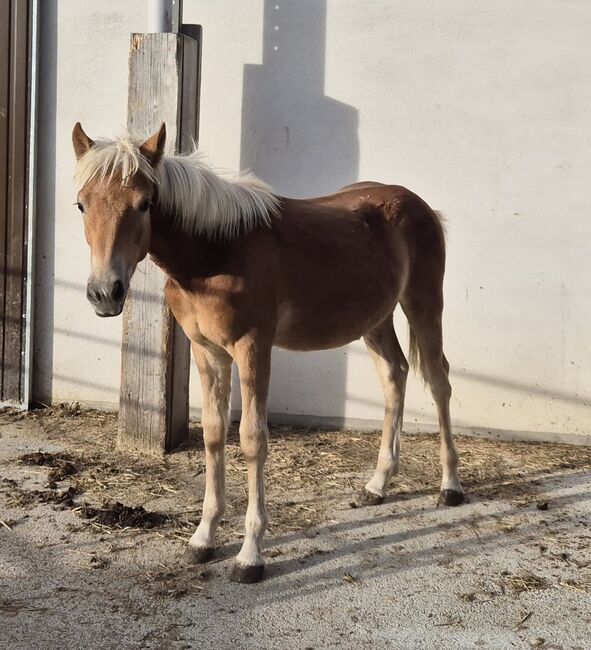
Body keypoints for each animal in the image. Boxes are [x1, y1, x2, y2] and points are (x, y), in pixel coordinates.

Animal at [71, 121, 464, 584]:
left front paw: (250, 555)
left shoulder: (252, 347)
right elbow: (214, 434)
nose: (105, 293)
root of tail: (419, 205)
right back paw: (377, 485)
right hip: (376, 318)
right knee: (394, 375)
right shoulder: (207, 352)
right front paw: (203, 539)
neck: (217, 254)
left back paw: (450, 486)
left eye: (145, 203)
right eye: (81, 204)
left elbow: (252, 438)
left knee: (438, 381)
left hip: (423, 303)